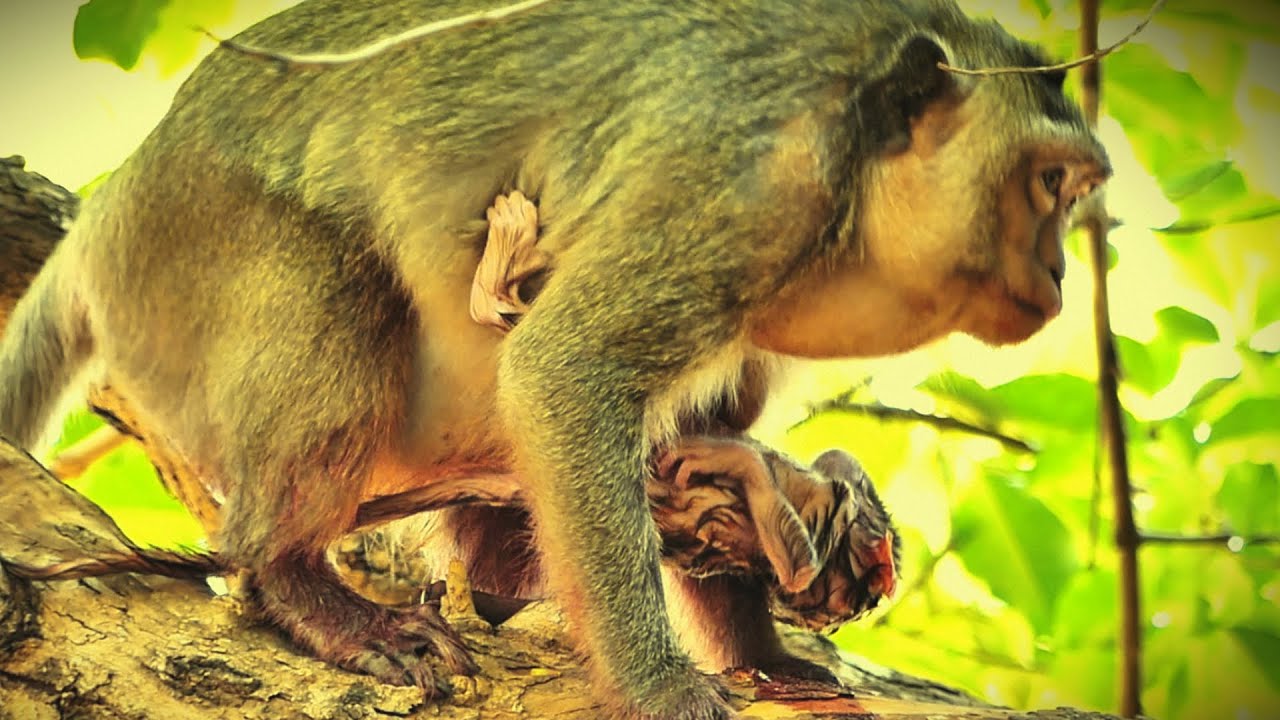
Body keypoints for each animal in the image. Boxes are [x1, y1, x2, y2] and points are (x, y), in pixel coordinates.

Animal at [0, 1, 1110, 717]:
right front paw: (659, 685)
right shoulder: (741, 191)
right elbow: (567, 372)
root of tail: (113, 206)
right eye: (1048, 184)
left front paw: (759, 649)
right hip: (184, 255)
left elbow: (709, 435)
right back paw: (292, 579)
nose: (1060, 271)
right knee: (340, 294)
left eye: (1076, 193)